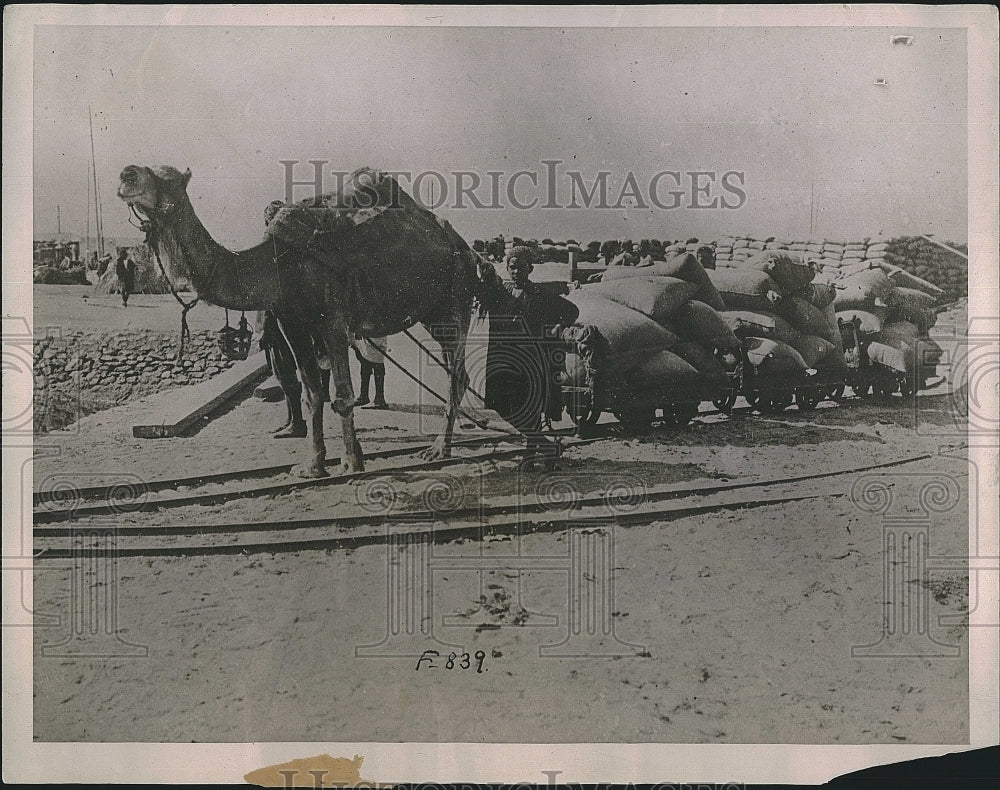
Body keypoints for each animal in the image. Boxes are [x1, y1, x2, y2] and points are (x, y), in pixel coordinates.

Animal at [119, 164, 490, 480]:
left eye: (167, 178)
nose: (127, 174)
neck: (276, 265)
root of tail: (468, 249)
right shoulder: (293, 325)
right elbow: (313, 394)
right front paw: (313, 466)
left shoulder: (333, 322)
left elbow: (342, 395)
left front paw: (351, 463)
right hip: (432, 312)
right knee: (455, 371)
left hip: (455, 296)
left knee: (457, 372)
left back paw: (439, 449)